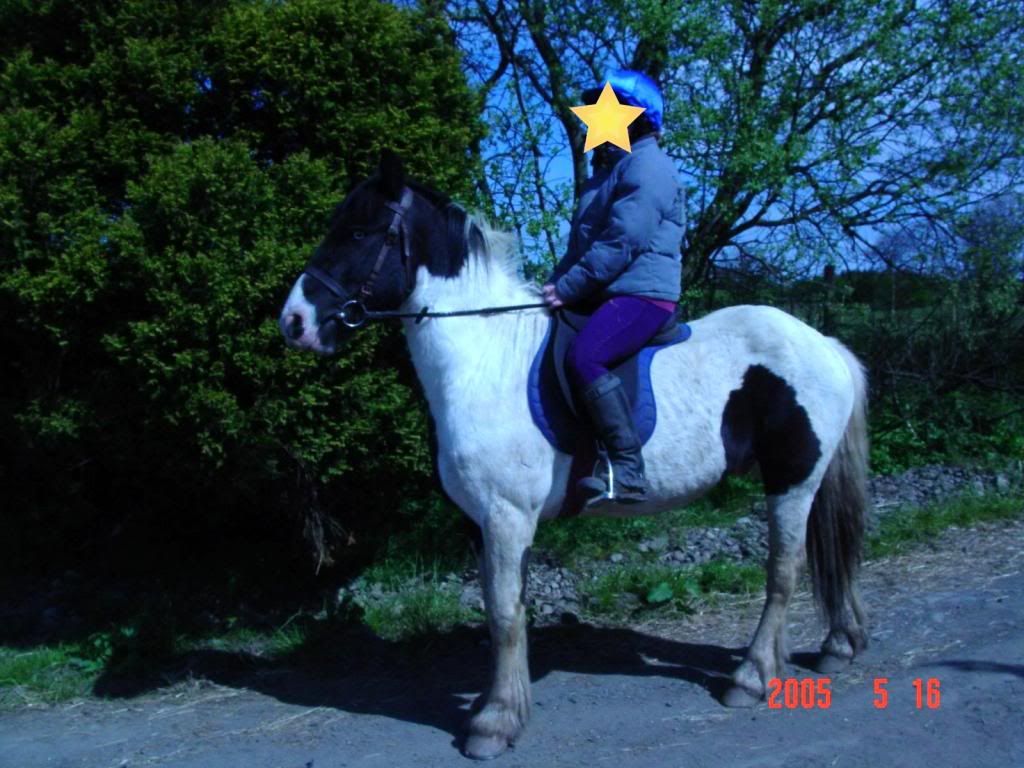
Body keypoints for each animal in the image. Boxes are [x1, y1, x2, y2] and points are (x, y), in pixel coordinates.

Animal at [279, 152, 869, 760]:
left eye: (358, 232)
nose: (293, 322)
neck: (484, 357)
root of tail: (823, 344)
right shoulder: (478, 520)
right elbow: (499, 608)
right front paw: (499, 707)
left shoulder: (507, 516)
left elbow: (505, 612)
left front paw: (494, 723)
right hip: (807, 478)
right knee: (831, 550)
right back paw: (836, 646)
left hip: (791, 479)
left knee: (784, 570)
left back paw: (751, 678)